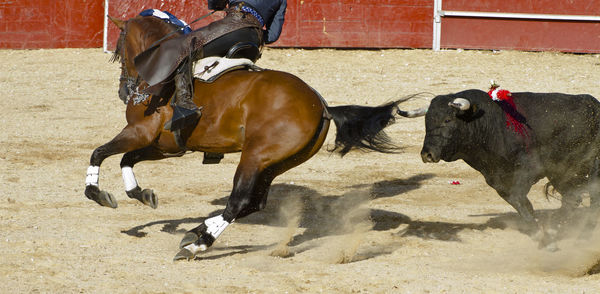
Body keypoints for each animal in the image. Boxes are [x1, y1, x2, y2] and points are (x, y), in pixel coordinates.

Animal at [86, 14, 418, 260]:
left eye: (119, 48)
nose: (125, 90)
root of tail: (322, 106)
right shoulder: (164, 145)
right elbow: (126, 159)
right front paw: (141, 194)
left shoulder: (139, 133)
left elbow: (100, 152)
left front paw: (97, 193)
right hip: (274, 163)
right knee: (253, 203)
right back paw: (197, 233)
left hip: (254, 157)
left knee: (239, 201)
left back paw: (196, 243)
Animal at [420, 89, 596, 248]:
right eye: (427, 122)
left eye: (447, 120)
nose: (427, 154)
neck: (489, 126)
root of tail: (593, 105)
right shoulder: (497, 179)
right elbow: (520, 202)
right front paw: (536, 230)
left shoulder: (528, 169)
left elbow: (517, 197)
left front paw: (543, 236)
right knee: (573, 198)